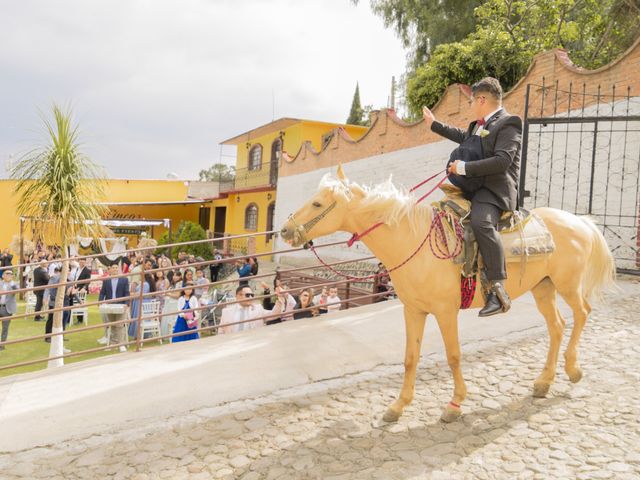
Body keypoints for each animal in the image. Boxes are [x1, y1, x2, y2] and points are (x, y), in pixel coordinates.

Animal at [278, 167, 616, 422]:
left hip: (567, 285)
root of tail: (579, 221)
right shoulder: (413, 310)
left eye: (318, 204)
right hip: (543, 287)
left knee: (582, 313)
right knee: (557, 326)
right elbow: (410, 358)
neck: (413, 240)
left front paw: (455, 404)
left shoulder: (445, 311)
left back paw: (573, 369)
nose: (285, 230)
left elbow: (453, 356)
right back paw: (544, 382)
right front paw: (398, 406)